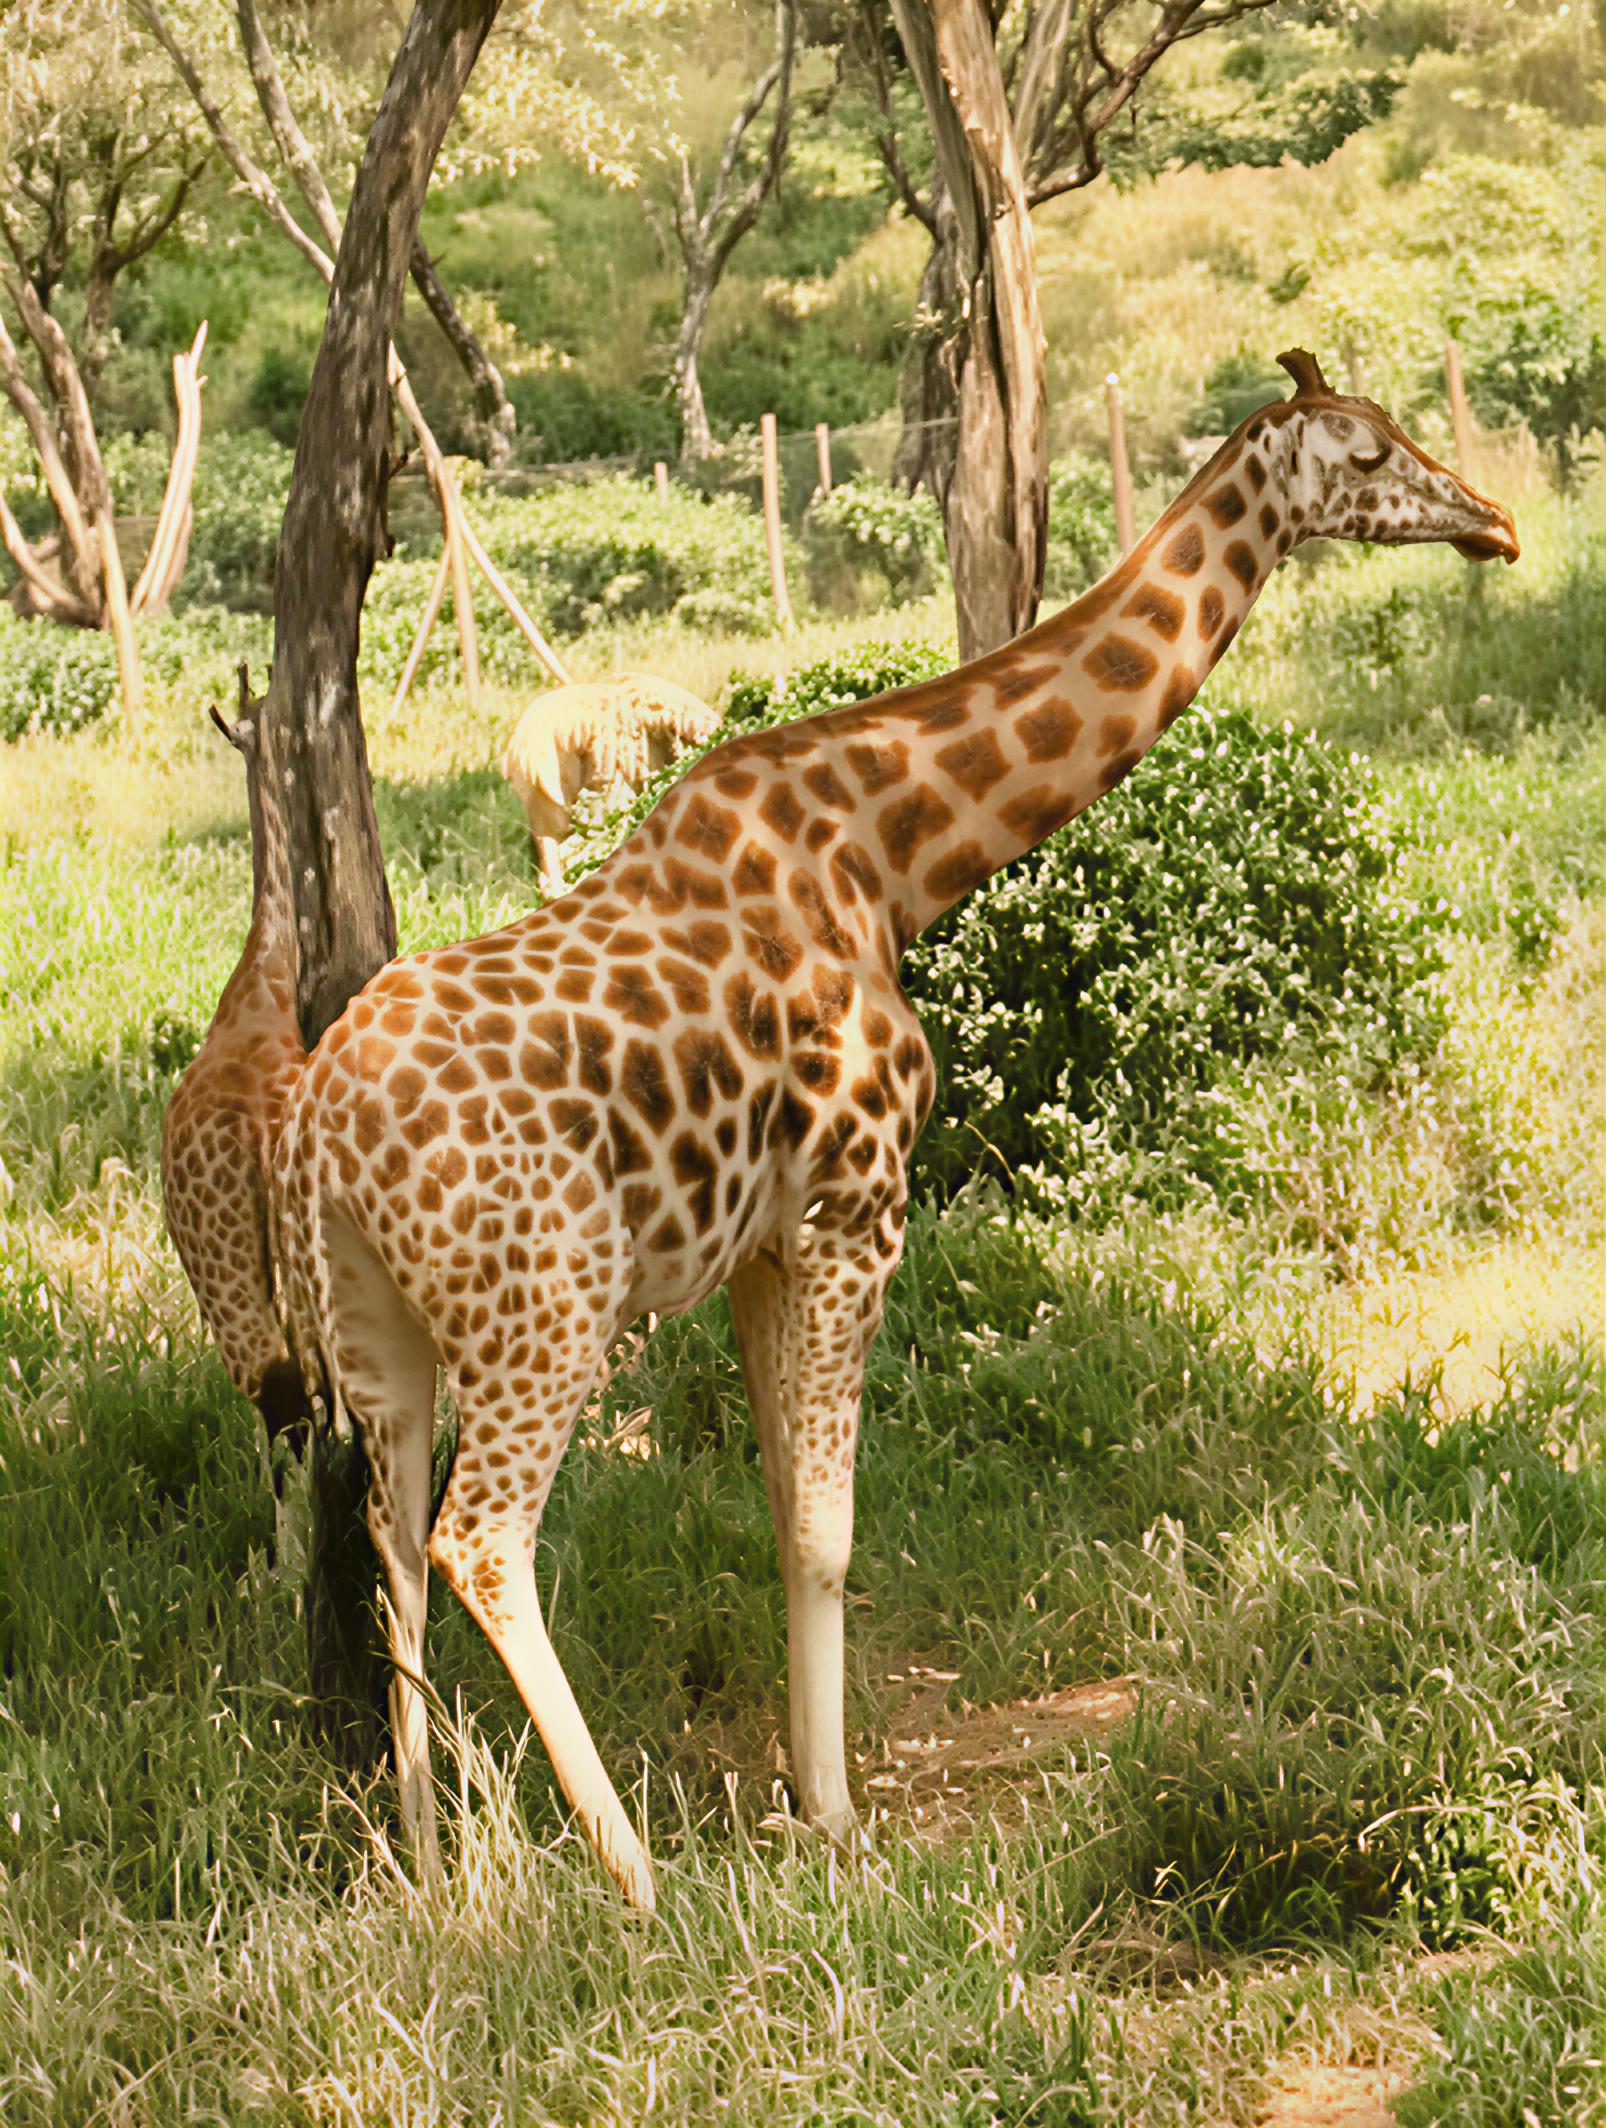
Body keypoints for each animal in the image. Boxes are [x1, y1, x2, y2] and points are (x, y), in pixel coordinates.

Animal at [245, 348, 1517, 1911]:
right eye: (1368, 451)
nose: (1491, 522)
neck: (889, 852)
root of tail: (317, 1136)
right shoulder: (859, 1207)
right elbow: (832, 1531)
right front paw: (839, 1820)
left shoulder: (756, 1246)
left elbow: (782, 1510)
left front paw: (806, 1798)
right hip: (546, 1309)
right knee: (478, 1539)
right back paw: (633, 1874)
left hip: (383, 1333)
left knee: (391, 1543)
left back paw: (437, 1865)